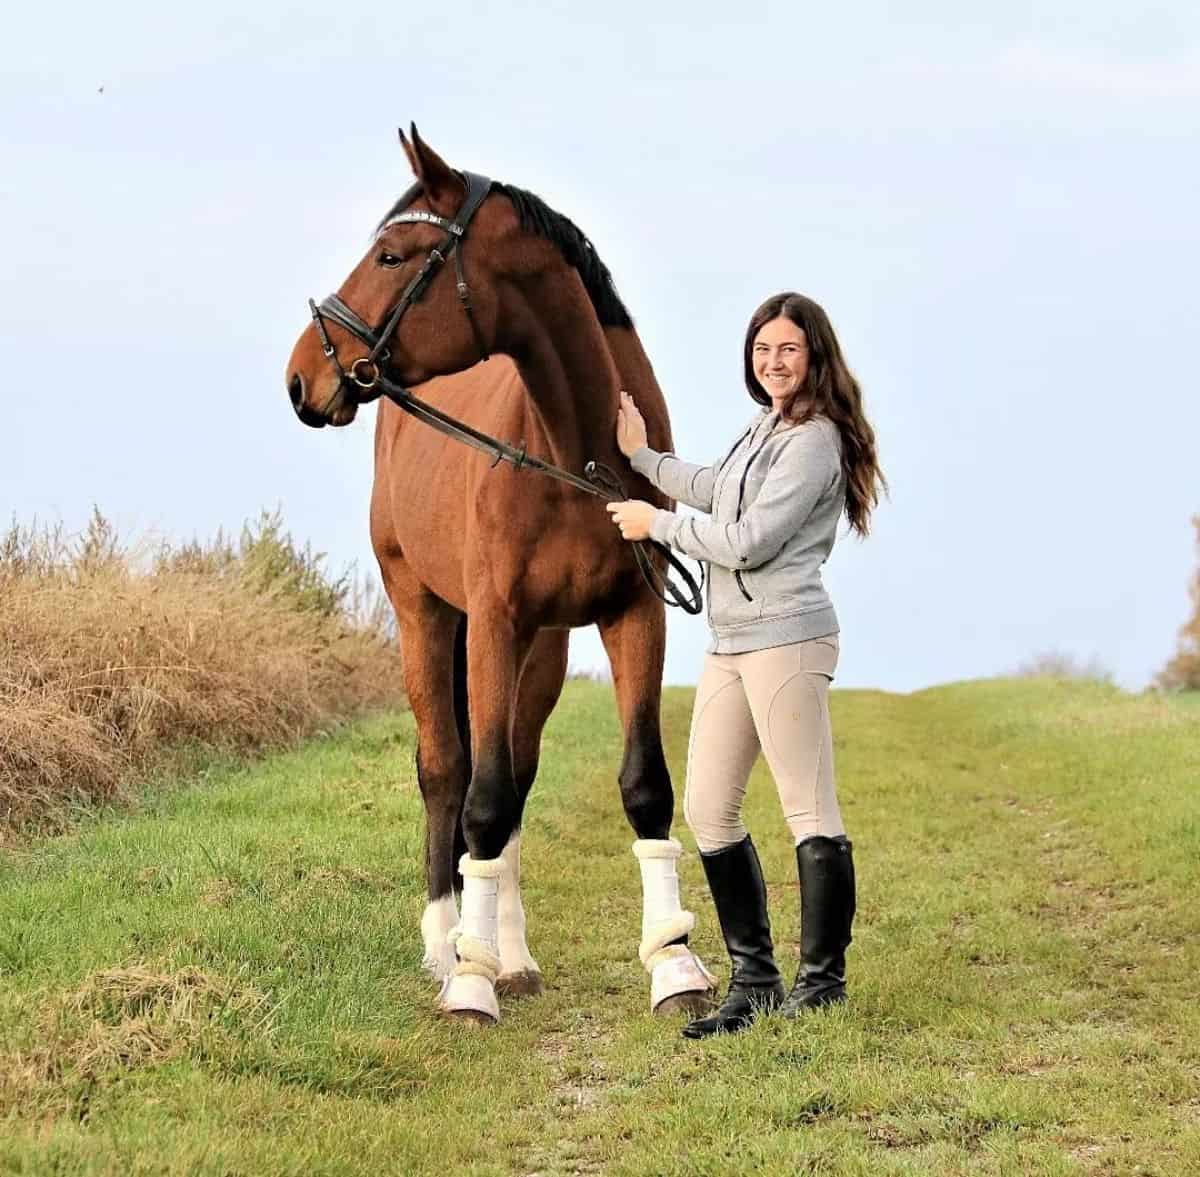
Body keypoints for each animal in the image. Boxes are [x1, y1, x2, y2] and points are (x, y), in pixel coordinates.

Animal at [283, 124, 710, 1017]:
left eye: (392, 254)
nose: (304, 372)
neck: (574, 452)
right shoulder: (491, 621)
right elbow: (476, 796)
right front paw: (470, 982)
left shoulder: (634, 615)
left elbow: (641, 785)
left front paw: (674, 964)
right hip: (425, 611)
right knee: (448, 771)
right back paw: (449, 946)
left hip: (541, 648)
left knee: (514, 774)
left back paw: (509, 950)